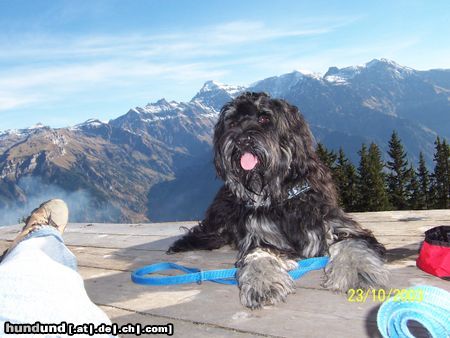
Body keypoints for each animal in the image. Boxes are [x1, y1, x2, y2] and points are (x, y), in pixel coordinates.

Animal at [168, 92, 386, 308]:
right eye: (232, 122)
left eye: (264, 118)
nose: (241, 140)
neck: (281, 196)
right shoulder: (260, 235)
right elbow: (258, 255)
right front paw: (262, 283)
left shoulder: (336, 223)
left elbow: (352, 244)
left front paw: (358, 272)